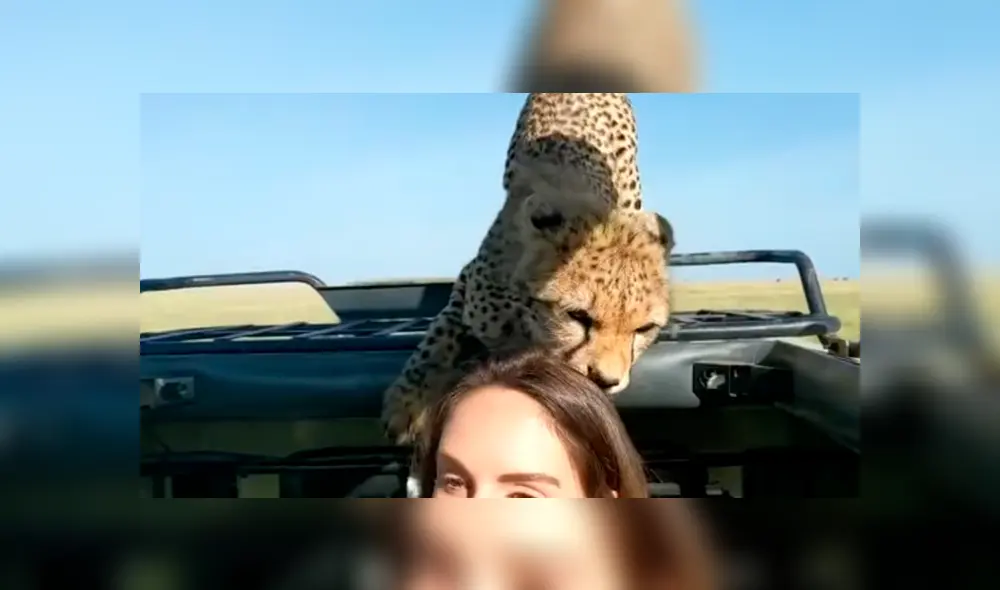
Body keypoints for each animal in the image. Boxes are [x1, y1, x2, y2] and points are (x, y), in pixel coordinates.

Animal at [381, 94, 675, 456]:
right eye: (578, 316)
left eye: (644, 329)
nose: (605, 380)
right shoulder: (469, 284)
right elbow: (438, 337)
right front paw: (408, 401)